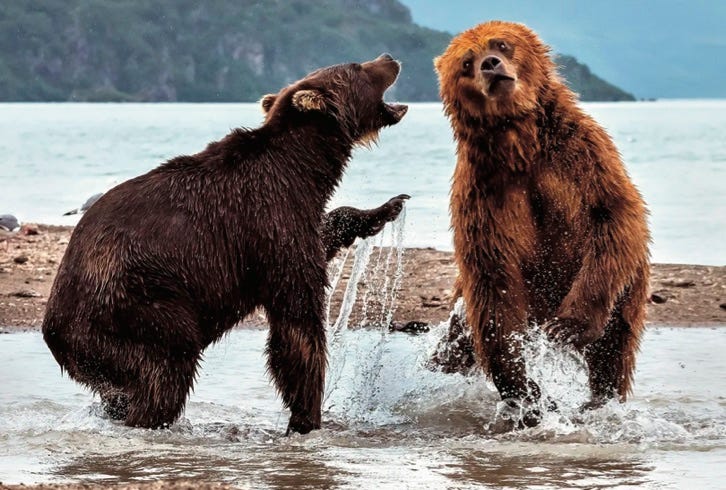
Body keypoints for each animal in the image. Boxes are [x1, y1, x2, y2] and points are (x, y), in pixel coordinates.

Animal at [42, 55, 410, 434]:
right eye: (356, 67)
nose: (389, 59)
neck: (303, 167)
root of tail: (53, 330)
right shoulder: (268, 219)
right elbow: (297, 322)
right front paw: (306, 416)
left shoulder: (291, 217)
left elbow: (322, 236)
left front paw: (384, 209)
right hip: (135, 304)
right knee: (168, 367)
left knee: (121, 390)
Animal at [436, 21, 652, 424]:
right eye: (466, 63)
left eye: (501, 44)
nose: (490, 65)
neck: (520, 145)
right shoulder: (483, 196)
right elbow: (494, 280)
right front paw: (527, 393)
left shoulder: (581, 156)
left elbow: (612, 216)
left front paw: (565, 328)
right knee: (457, 343)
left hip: (628, 294)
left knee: (614, 349)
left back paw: (599, 399)